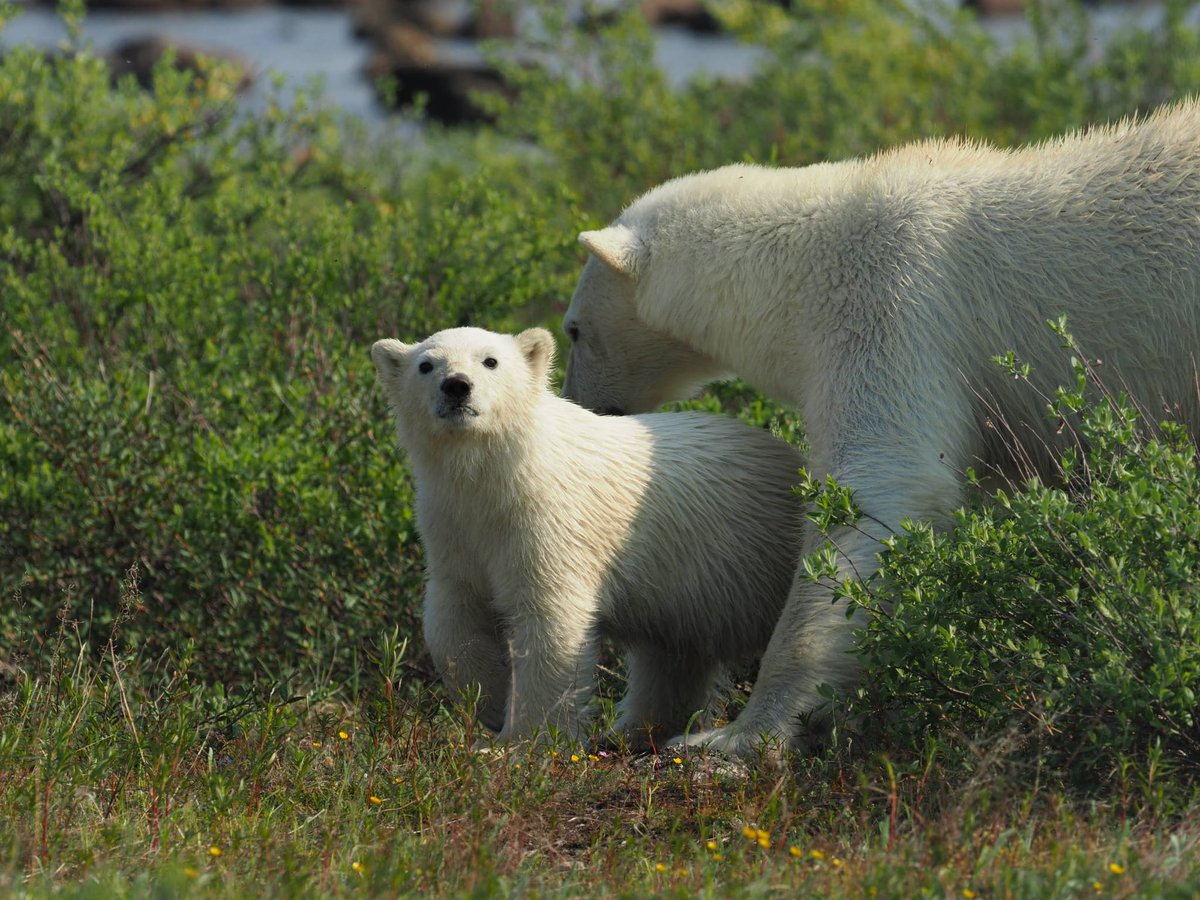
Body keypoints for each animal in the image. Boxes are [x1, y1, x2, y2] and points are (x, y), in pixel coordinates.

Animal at [370, 326, 804, 748]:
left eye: (490, 360)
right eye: (426, 365)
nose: (457, 386)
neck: (501, 473)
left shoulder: (549, 522)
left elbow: (549, 620)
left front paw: (526, 742)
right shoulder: (453, 526)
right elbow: (453, 617)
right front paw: (492, 703)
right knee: (674, 657)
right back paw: (636, 731)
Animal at [560, 98, 1200, 759]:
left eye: (574, 330)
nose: (583, 404)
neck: (801, 258)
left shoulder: (892, 300)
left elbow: (881, 488)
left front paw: (733, 737)